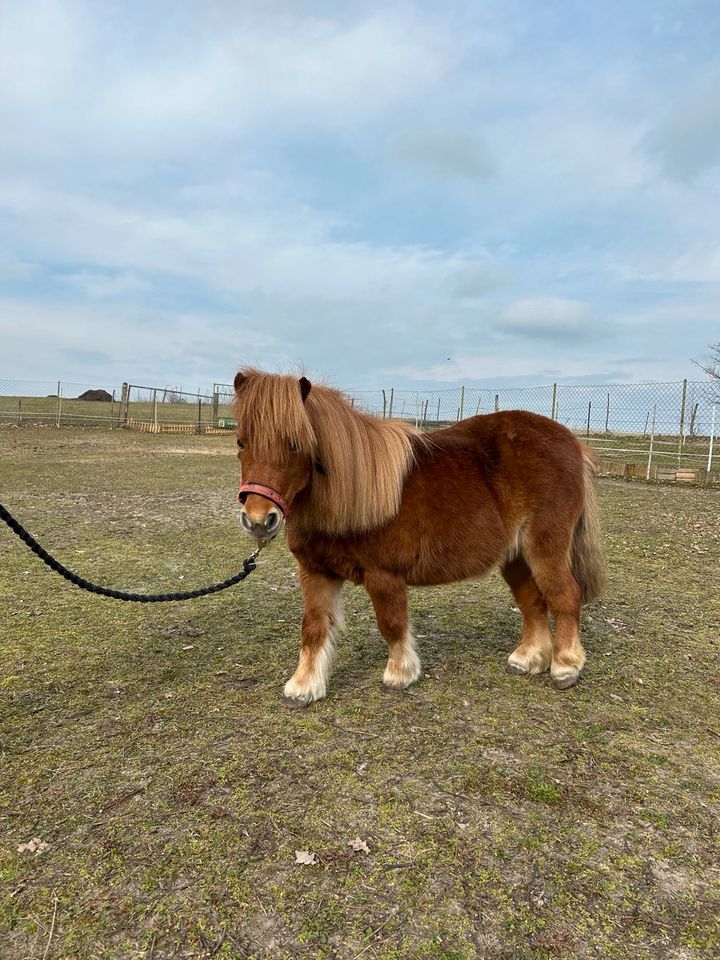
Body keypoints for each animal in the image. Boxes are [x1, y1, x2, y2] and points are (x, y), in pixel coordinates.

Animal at [233, 368, 604, 704]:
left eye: (295, 445)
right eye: (240, 442)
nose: (258, 520)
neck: (348, 495)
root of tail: (572, 442)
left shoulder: (383, 576)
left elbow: (391, 623)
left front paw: (400, 674)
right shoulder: (315, 572)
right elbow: (313, 627)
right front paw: (303, 687)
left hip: (545, 548)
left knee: (564, 596)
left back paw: (565, 667)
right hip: (516, 557)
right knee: (533, 602)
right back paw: (528, 659)